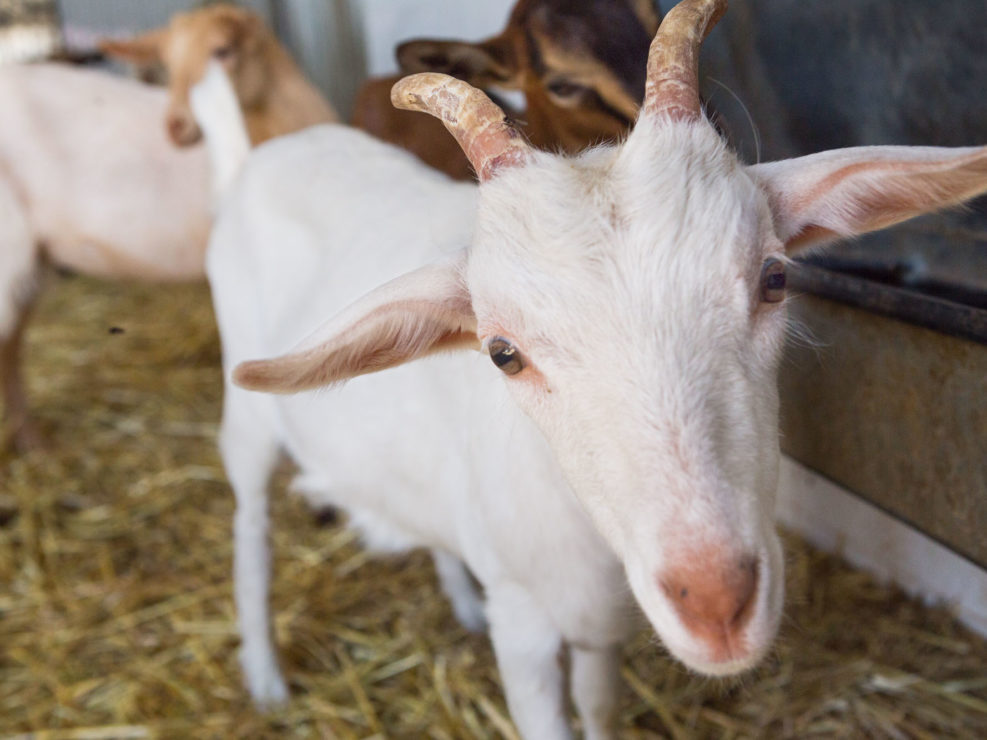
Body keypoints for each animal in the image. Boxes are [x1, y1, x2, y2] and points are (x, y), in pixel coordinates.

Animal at [199, 2, 987, 736]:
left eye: (774, 278)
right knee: (249, 529)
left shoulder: (603, 629)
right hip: (247, 418)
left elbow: (601, 708)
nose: (717, 605)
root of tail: (252, 160)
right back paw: (265, 677)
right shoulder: (525, 627)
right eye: (503, 352)